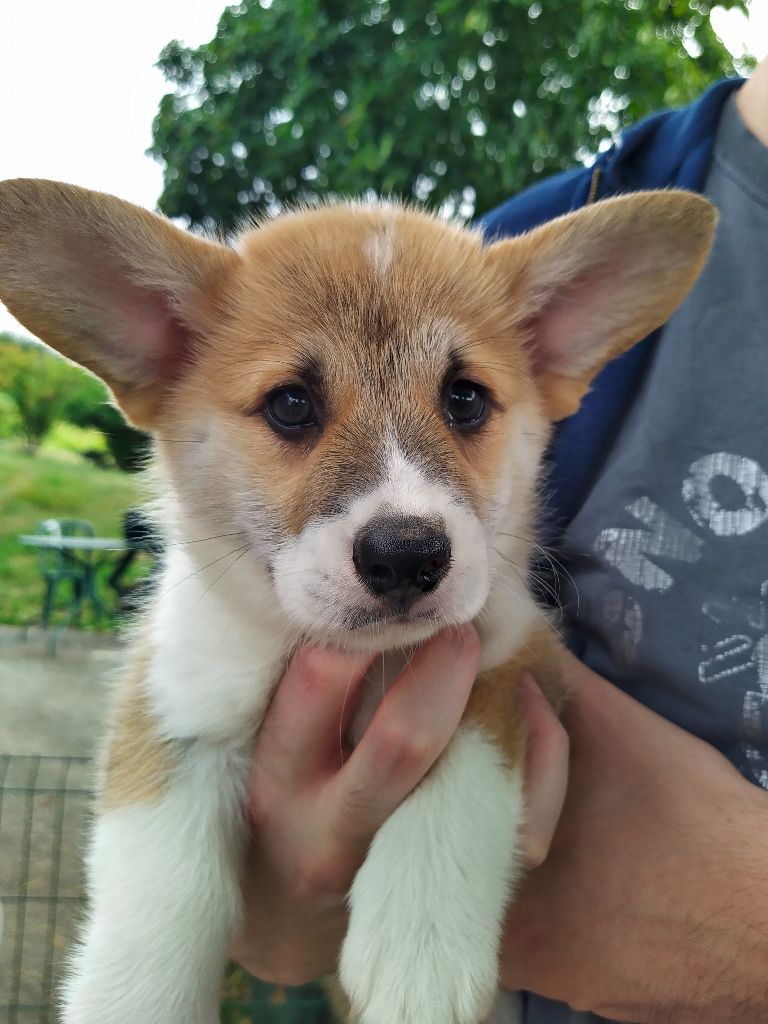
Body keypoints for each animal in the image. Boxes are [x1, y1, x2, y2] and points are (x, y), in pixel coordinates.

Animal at [0, 184, 720, 1024]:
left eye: (465, 398)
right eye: (290, 404)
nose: (407, 555)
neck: (362, 664)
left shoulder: (516, 655)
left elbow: (462, 758)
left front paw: (420, 950)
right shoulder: (178, 711)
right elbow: (158, 900)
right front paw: (134, 992)